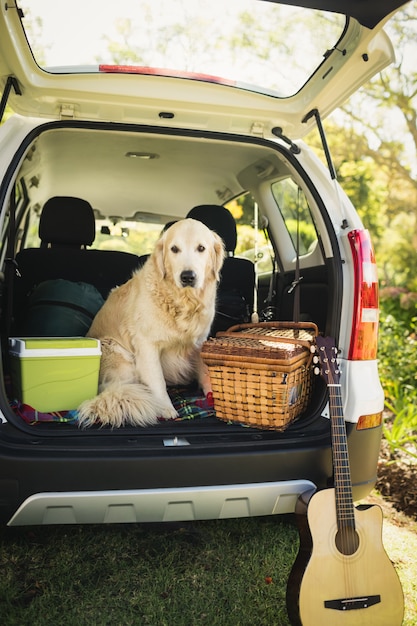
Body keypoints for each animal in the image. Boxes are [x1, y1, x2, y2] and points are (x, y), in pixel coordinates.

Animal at [76, 217, 223, 426]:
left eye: (201, 248)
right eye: (174, 249)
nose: (188, 276)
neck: (181, 302)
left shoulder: (199, 341)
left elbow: (205, 371)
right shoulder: (147, 345)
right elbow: (157, 380)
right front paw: (166, 409)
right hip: (118, 353)